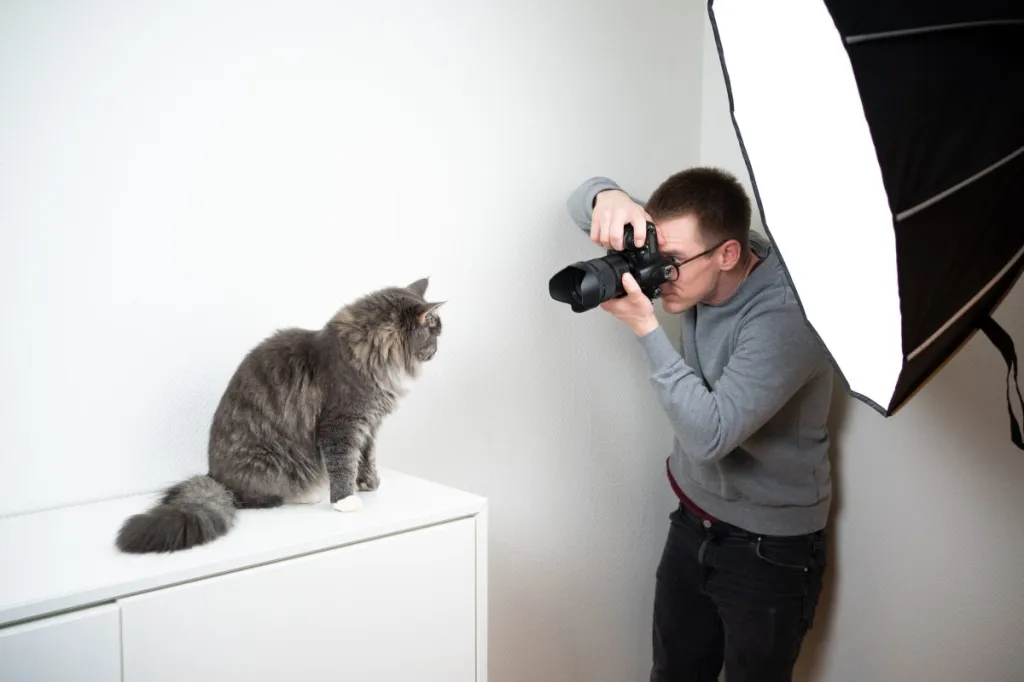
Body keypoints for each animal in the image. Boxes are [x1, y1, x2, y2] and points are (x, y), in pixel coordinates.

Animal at [116, 276, 444, 552]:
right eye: (434, 334)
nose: (437, 351)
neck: (375, 355)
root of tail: (214, 477)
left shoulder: (370, 424)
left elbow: (366, 459)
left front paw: (369, 484)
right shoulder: (343, 424)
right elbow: (343, 464)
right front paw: (345, 500)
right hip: (272, 459)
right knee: (255, 498)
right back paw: (306, 494)